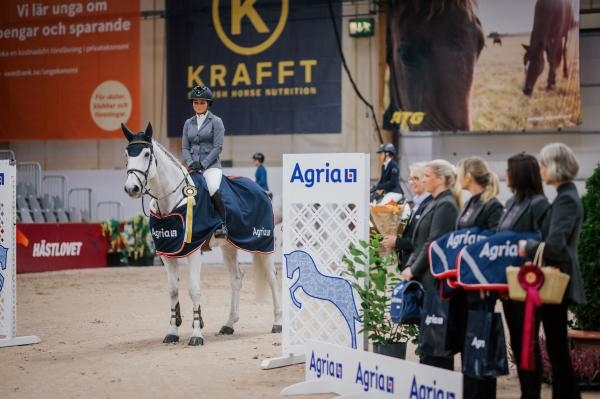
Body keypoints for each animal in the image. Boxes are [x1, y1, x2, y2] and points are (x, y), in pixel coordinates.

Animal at [122, 122, 284, 346]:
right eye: (127, 154)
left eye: (146, 154)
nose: (132, 188)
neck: (172, 201)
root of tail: (261, 191)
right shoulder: (167, 253)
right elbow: (173, 291)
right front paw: (172, 332)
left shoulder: (193, 250)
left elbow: (194, 290)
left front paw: (196, 335)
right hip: (228, 248)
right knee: (236, 279)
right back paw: (228, 324)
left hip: (263, 244)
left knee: (272, 278)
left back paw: (277, 323)